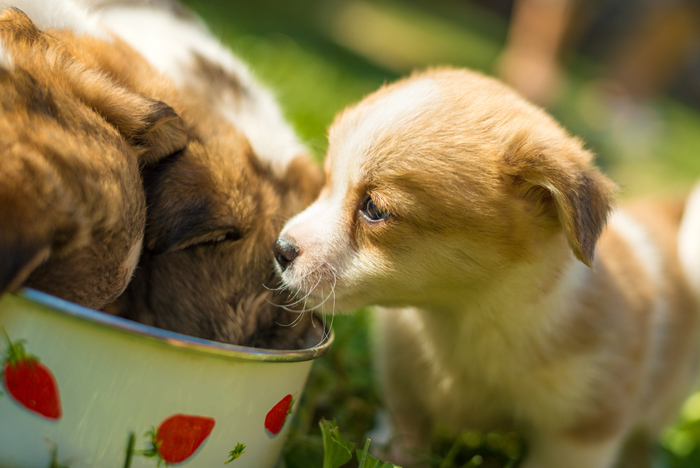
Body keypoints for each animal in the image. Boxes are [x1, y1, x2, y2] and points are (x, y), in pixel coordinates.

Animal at [276, 67, 700, 466]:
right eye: (327, 181)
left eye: (375, 209)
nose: (280, 249)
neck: (462, 319)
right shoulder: (402, 380)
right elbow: (403, 430)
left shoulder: (581, 431)